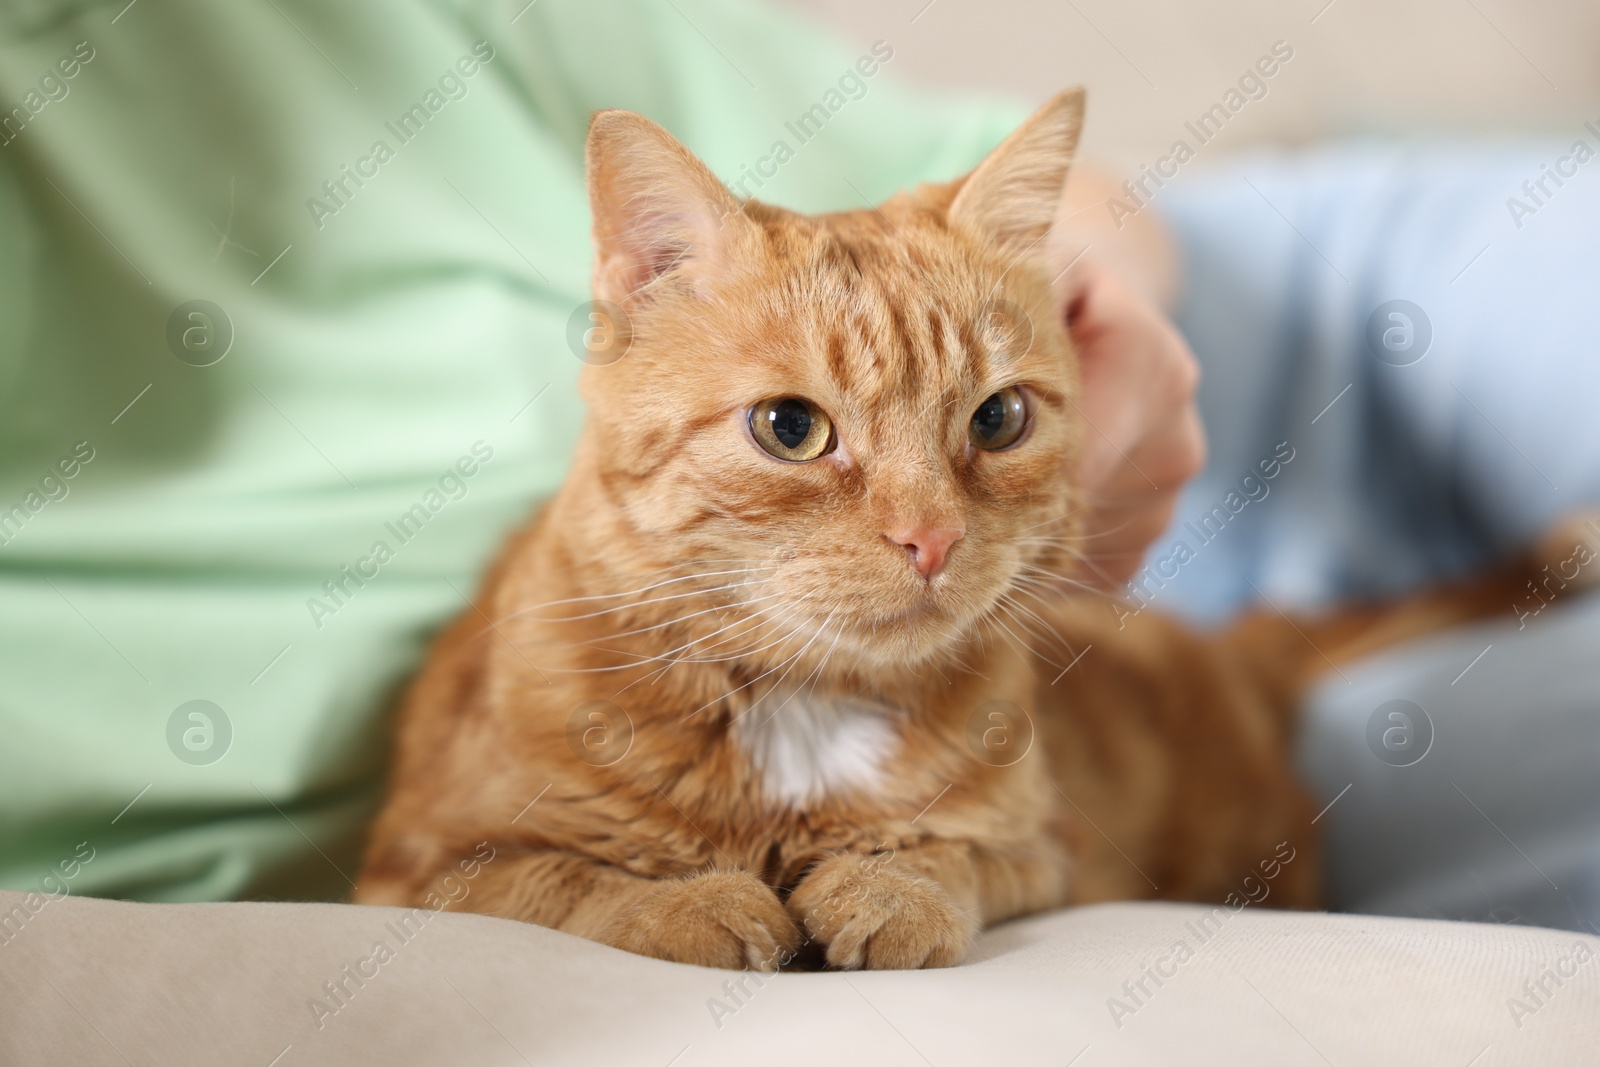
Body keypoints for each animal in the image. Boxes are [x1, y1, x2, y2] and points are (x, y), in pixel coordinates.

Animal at [353, 91, 1587, 972]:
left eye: (998, 419)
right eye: (790, 428)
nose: (931, 539)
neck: (801, 715)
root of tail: (1229, 643)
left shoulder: (1042, 851)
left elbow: (953, 858)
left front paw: (883, 884)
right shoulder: (413, 866)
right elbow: (559, 879)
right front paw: (688, 900)